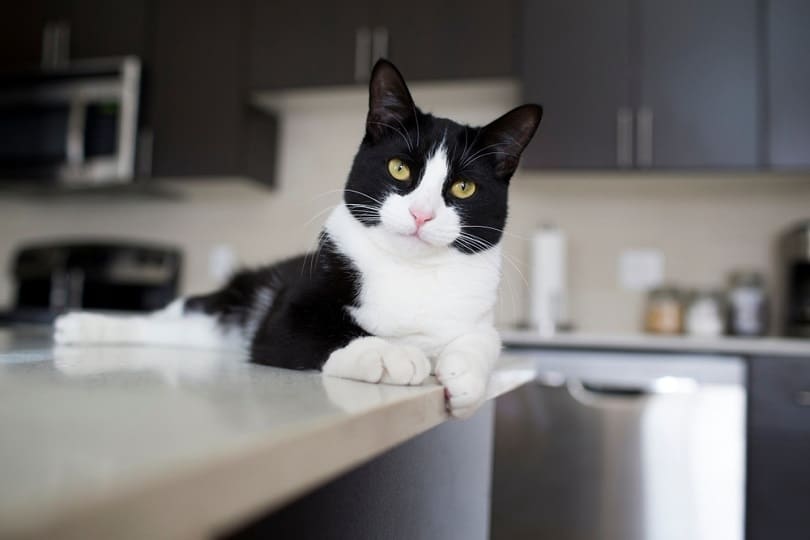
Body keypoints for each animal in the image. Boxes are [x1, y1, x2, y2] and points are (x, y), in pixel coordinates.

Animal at [53, 61, 540, 420]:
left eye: (464, 188)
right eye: (400, 168)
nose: (422, 214)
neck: (409, 270)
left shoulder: (477, 315)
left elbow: (485, 341)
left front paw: (465, 377)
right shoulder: (284, 314)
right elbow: (320, 331)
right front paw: (388, 354)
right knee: (169, 317)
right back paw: (80, 326)